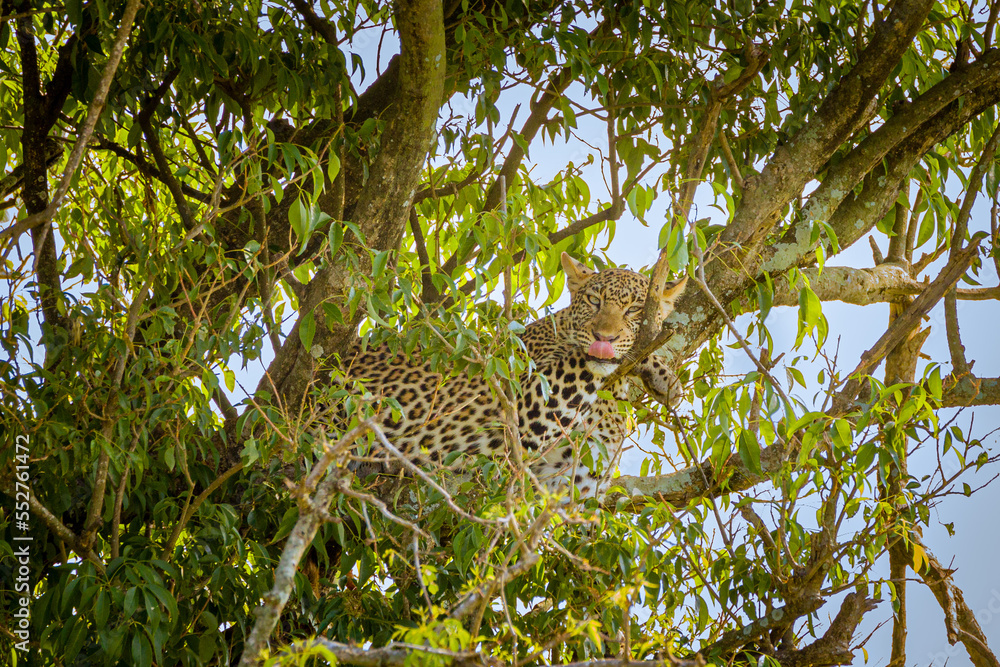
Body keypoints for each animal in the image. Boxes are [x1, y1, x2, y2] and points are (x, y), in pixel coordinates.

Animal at [338, 252, 687, 498]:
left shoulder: (569, 481)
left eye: (634, 310)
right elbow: (585, 359)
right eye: (594, 301)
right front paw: (654, 370)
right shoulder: (524, 408)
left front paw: (664, 380)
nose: (605, 337)